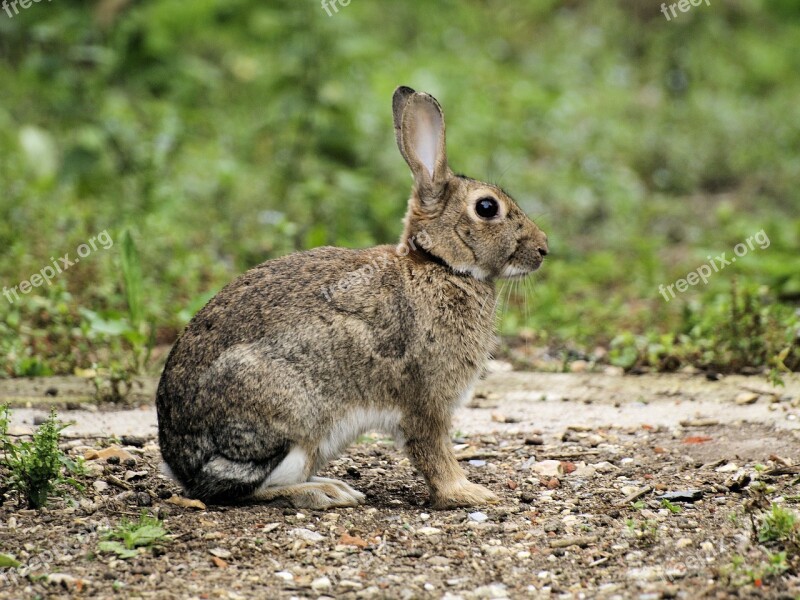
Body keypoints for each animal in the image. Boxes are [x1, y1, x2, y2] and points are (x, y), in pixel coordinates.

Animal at [154, 86, 548, 508]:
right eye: (487, 207)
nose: (544, 249)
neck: (439, 264)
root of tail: (180, 465)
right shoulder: (426, 400)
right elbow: (434, 451)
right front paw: (469, 494)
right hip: (292, 420)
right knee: (242, 489)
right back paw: (326, 491)